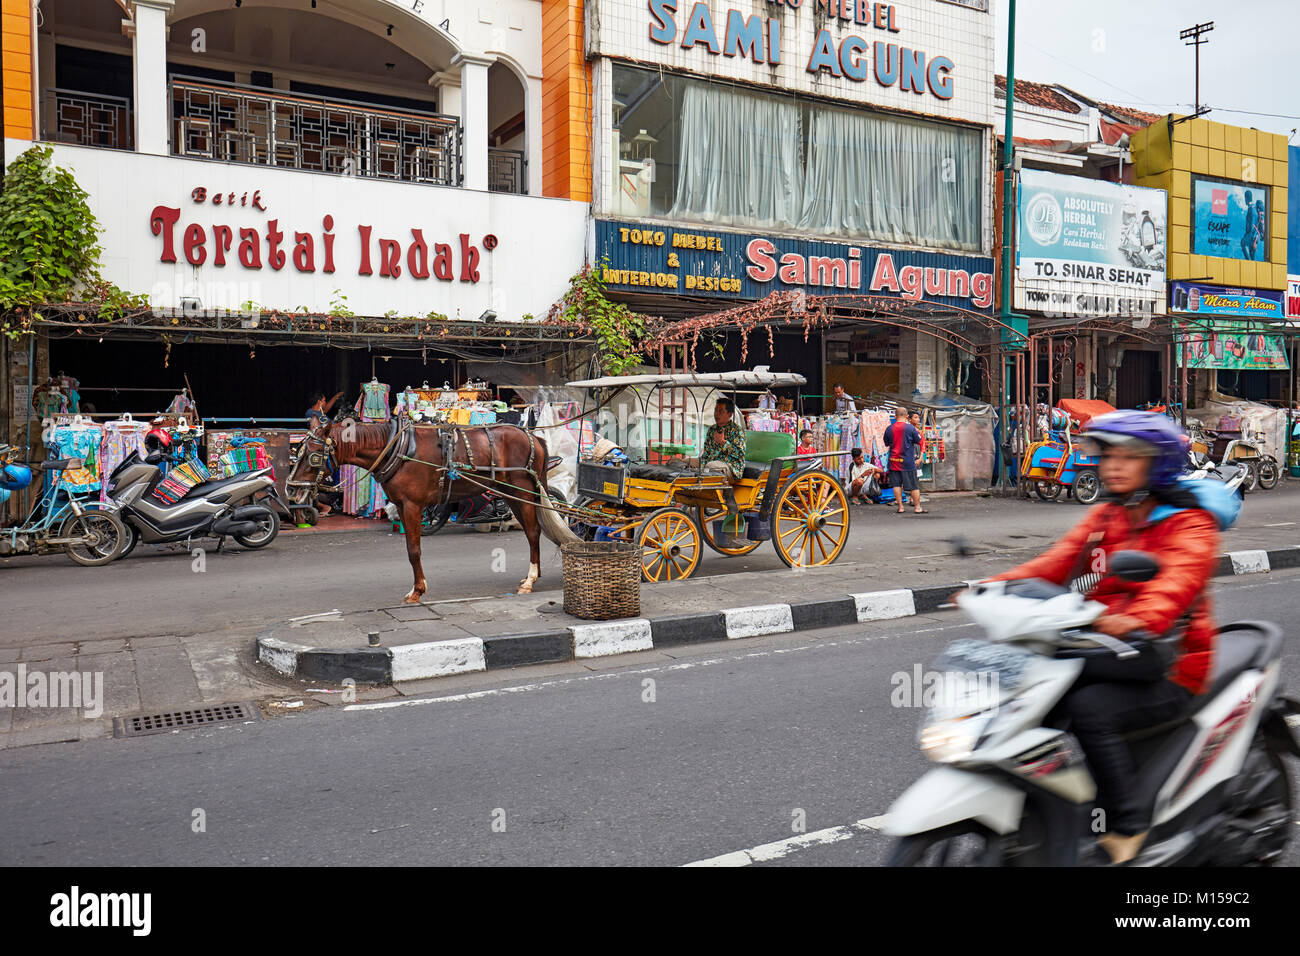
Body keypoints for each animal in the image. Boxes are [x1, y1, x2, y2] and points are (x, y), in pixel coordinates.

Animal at [288, 421, 559, 600]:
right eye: (298, 452)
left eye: (312, 455)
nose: (290, 488)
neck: (395, 448)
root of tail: (533, 437)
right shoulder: (402, 505)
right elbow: (411, 547)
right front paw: (418, 587)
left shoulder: (412, 505)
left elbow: (414, 550)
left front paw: (417, 590)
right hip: (511, 494)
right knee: (531, 531)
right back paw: (532, 575)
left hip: (524, 492)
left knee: (533, 532)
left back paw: (530, 579)